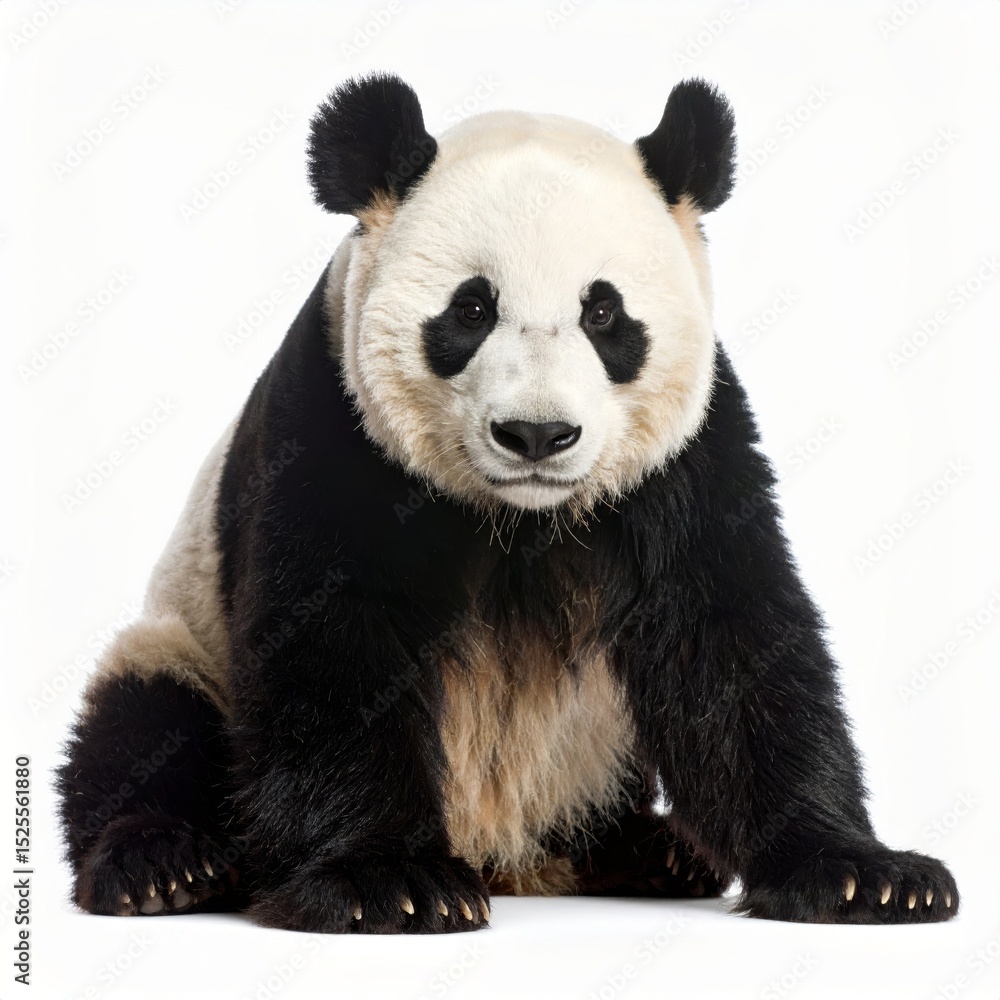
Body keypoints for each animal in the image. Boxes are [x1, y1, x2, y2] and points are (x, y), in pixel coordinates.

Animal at [57, 73, 959, 931]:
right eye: (471, 308)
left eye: (604, 312)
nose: (537, 433)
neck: (520, 519)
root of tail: (507, 854)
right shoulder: (332, 427)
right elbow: (329, 642)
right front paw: (388, 882)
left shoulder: (689, 459)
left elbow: (731, 641)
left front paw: (865, 874)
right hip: (184, 635)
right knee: (143, 729)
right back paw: (166, 866)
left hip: (595, 743)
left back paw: (653, 851)